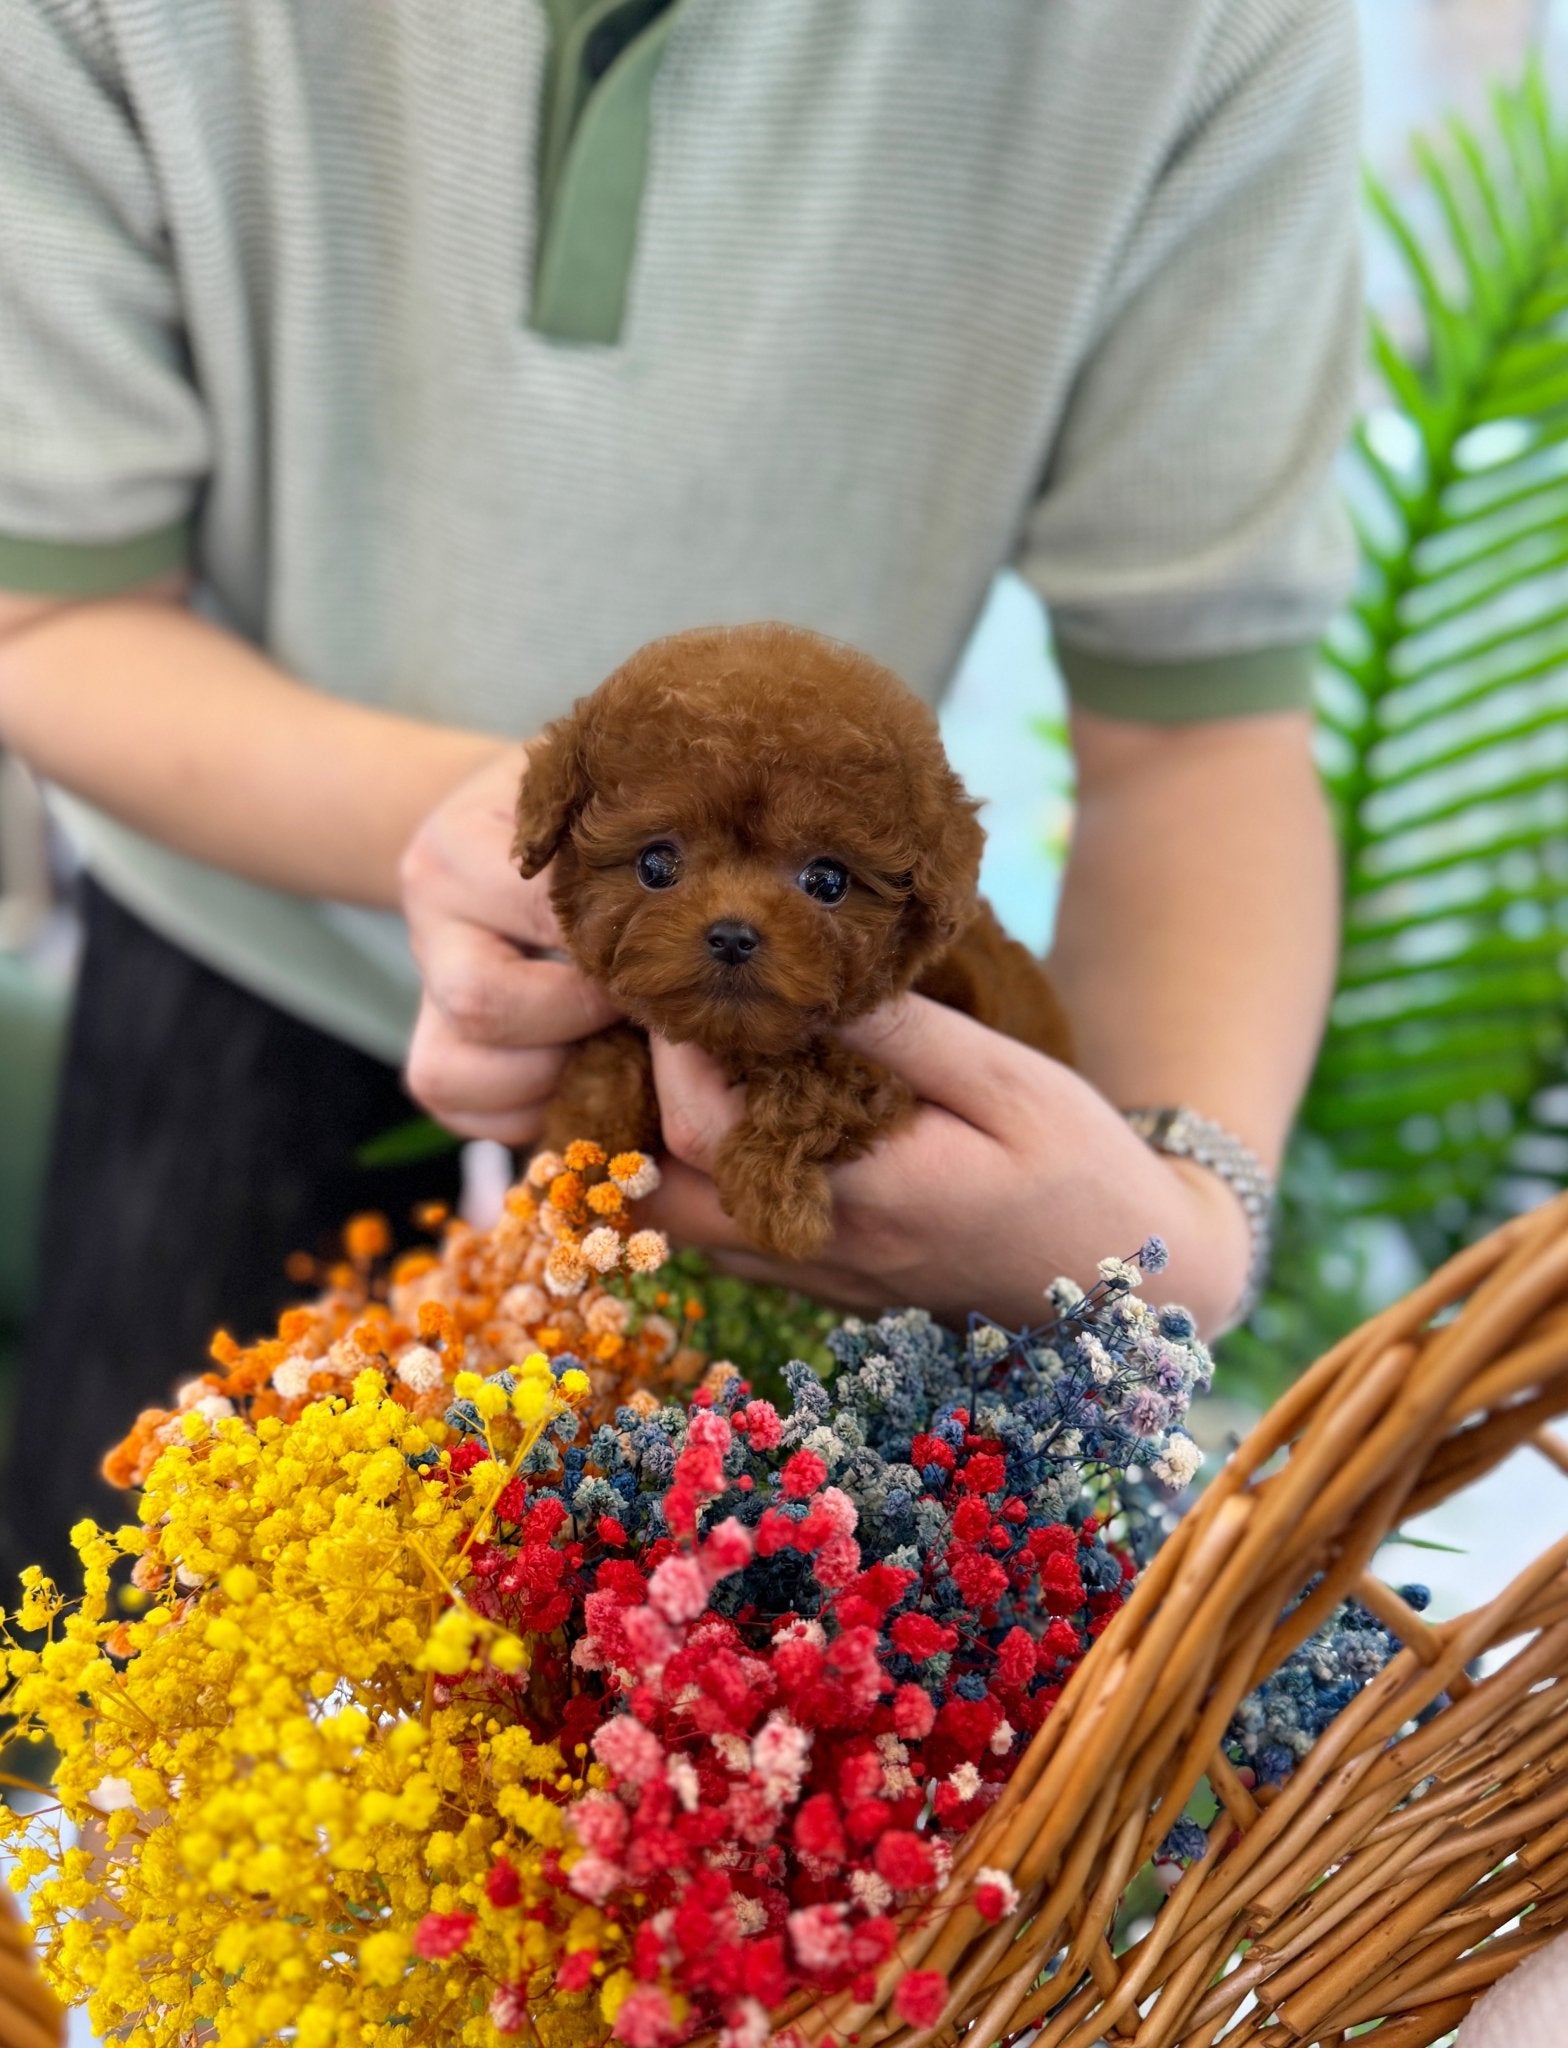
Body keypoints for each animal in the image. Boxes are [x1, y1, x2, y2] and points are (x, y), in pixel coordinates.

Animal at [521, 618, 1072, 1261]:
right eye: (655, 865)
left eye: (827, 881)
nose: (733, 937)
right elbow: (611, 1056)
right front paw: (579, 1150)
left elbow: (818, 1072)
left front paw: (771, 1189)